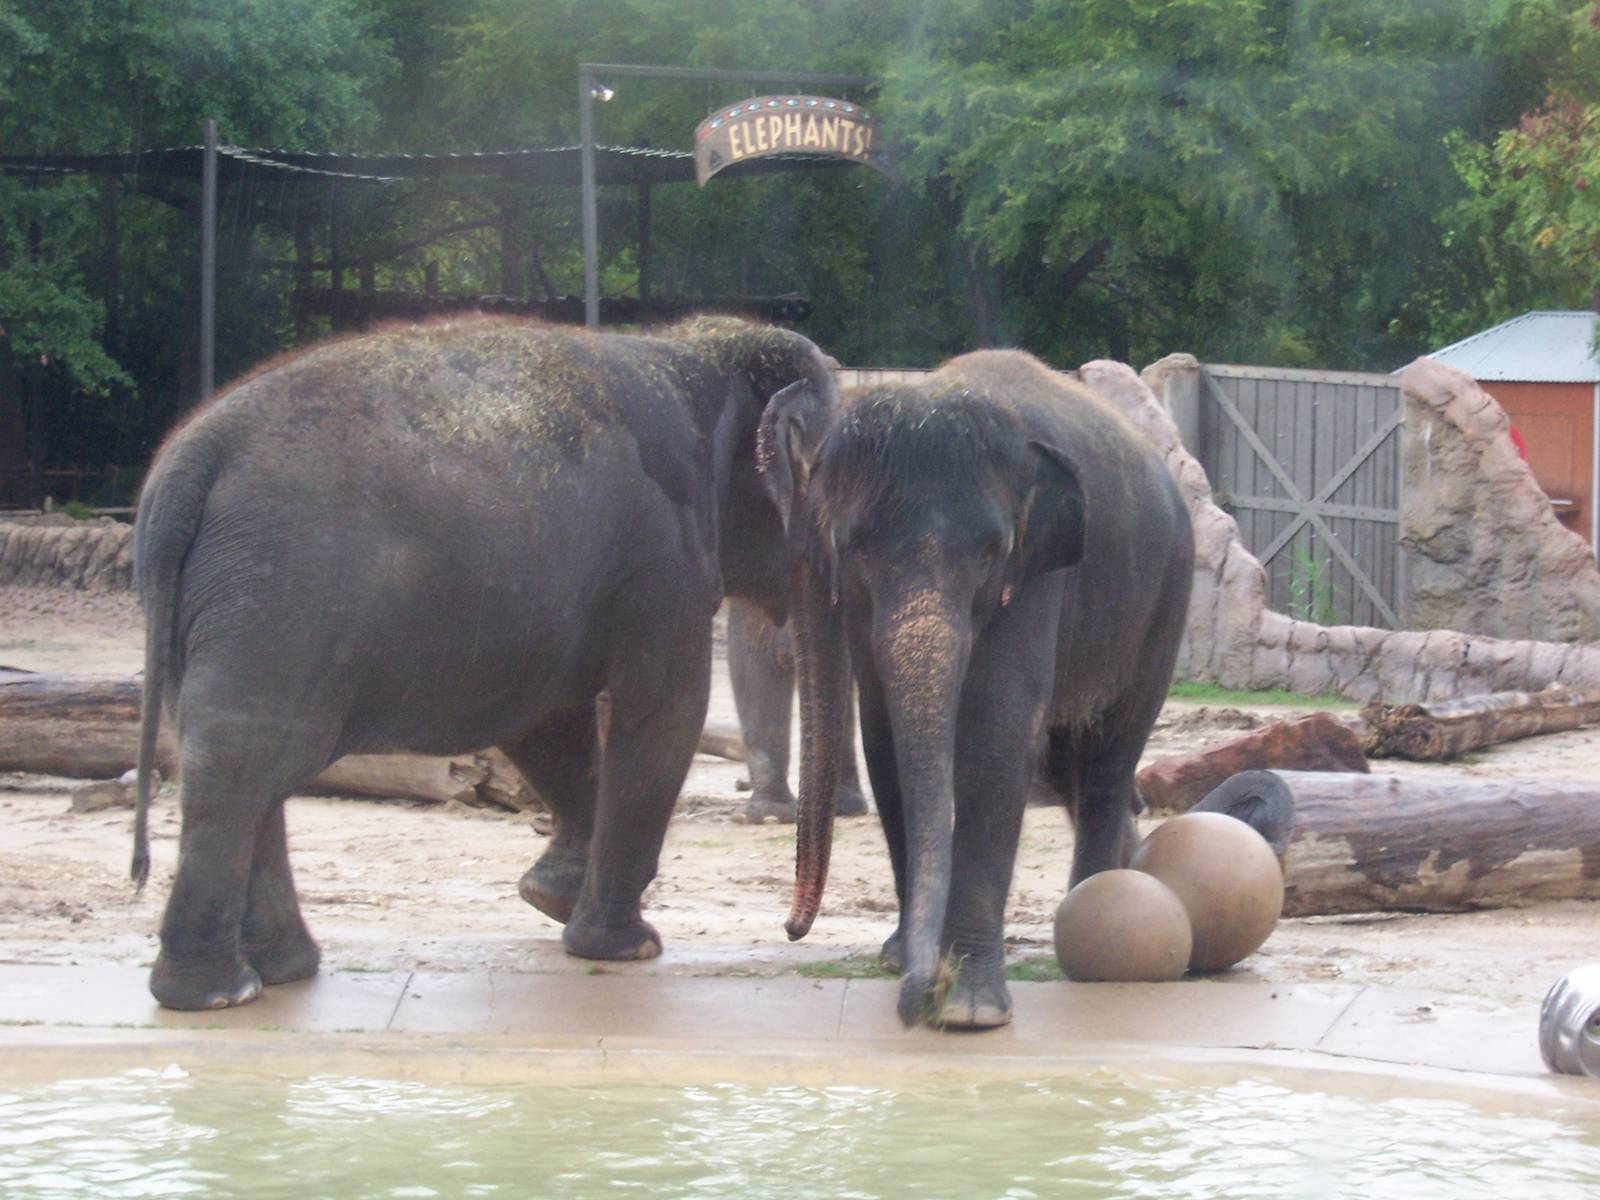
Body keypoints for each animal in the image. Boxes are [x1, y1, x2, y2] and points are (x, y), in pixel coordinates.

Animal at [130, 314, 846, 1011]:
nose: (791, 929)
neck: (702, 349)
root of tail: (191, 456)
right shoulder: (666, 557)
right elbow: (664, 714)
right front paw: (627, 947)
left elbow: (546, 723)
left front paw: (550, 899)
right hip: (277, 596)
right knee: (246, 759)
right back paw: (217, 993)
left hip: (214, 607)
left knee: (242, 759)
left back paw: (281, 972)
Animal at [774, 350, 1194, 1029]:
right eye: (853, 547)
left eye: (991, 550)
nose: (919, 996)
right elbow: (886, 740)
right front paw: (903, 961)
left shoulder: (1038, 571)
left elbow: (999, 727)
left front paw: (969, 1011)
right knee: (1067, 760)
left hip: (1169, 593)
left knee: (1110, 752)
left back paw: (1089, 912)